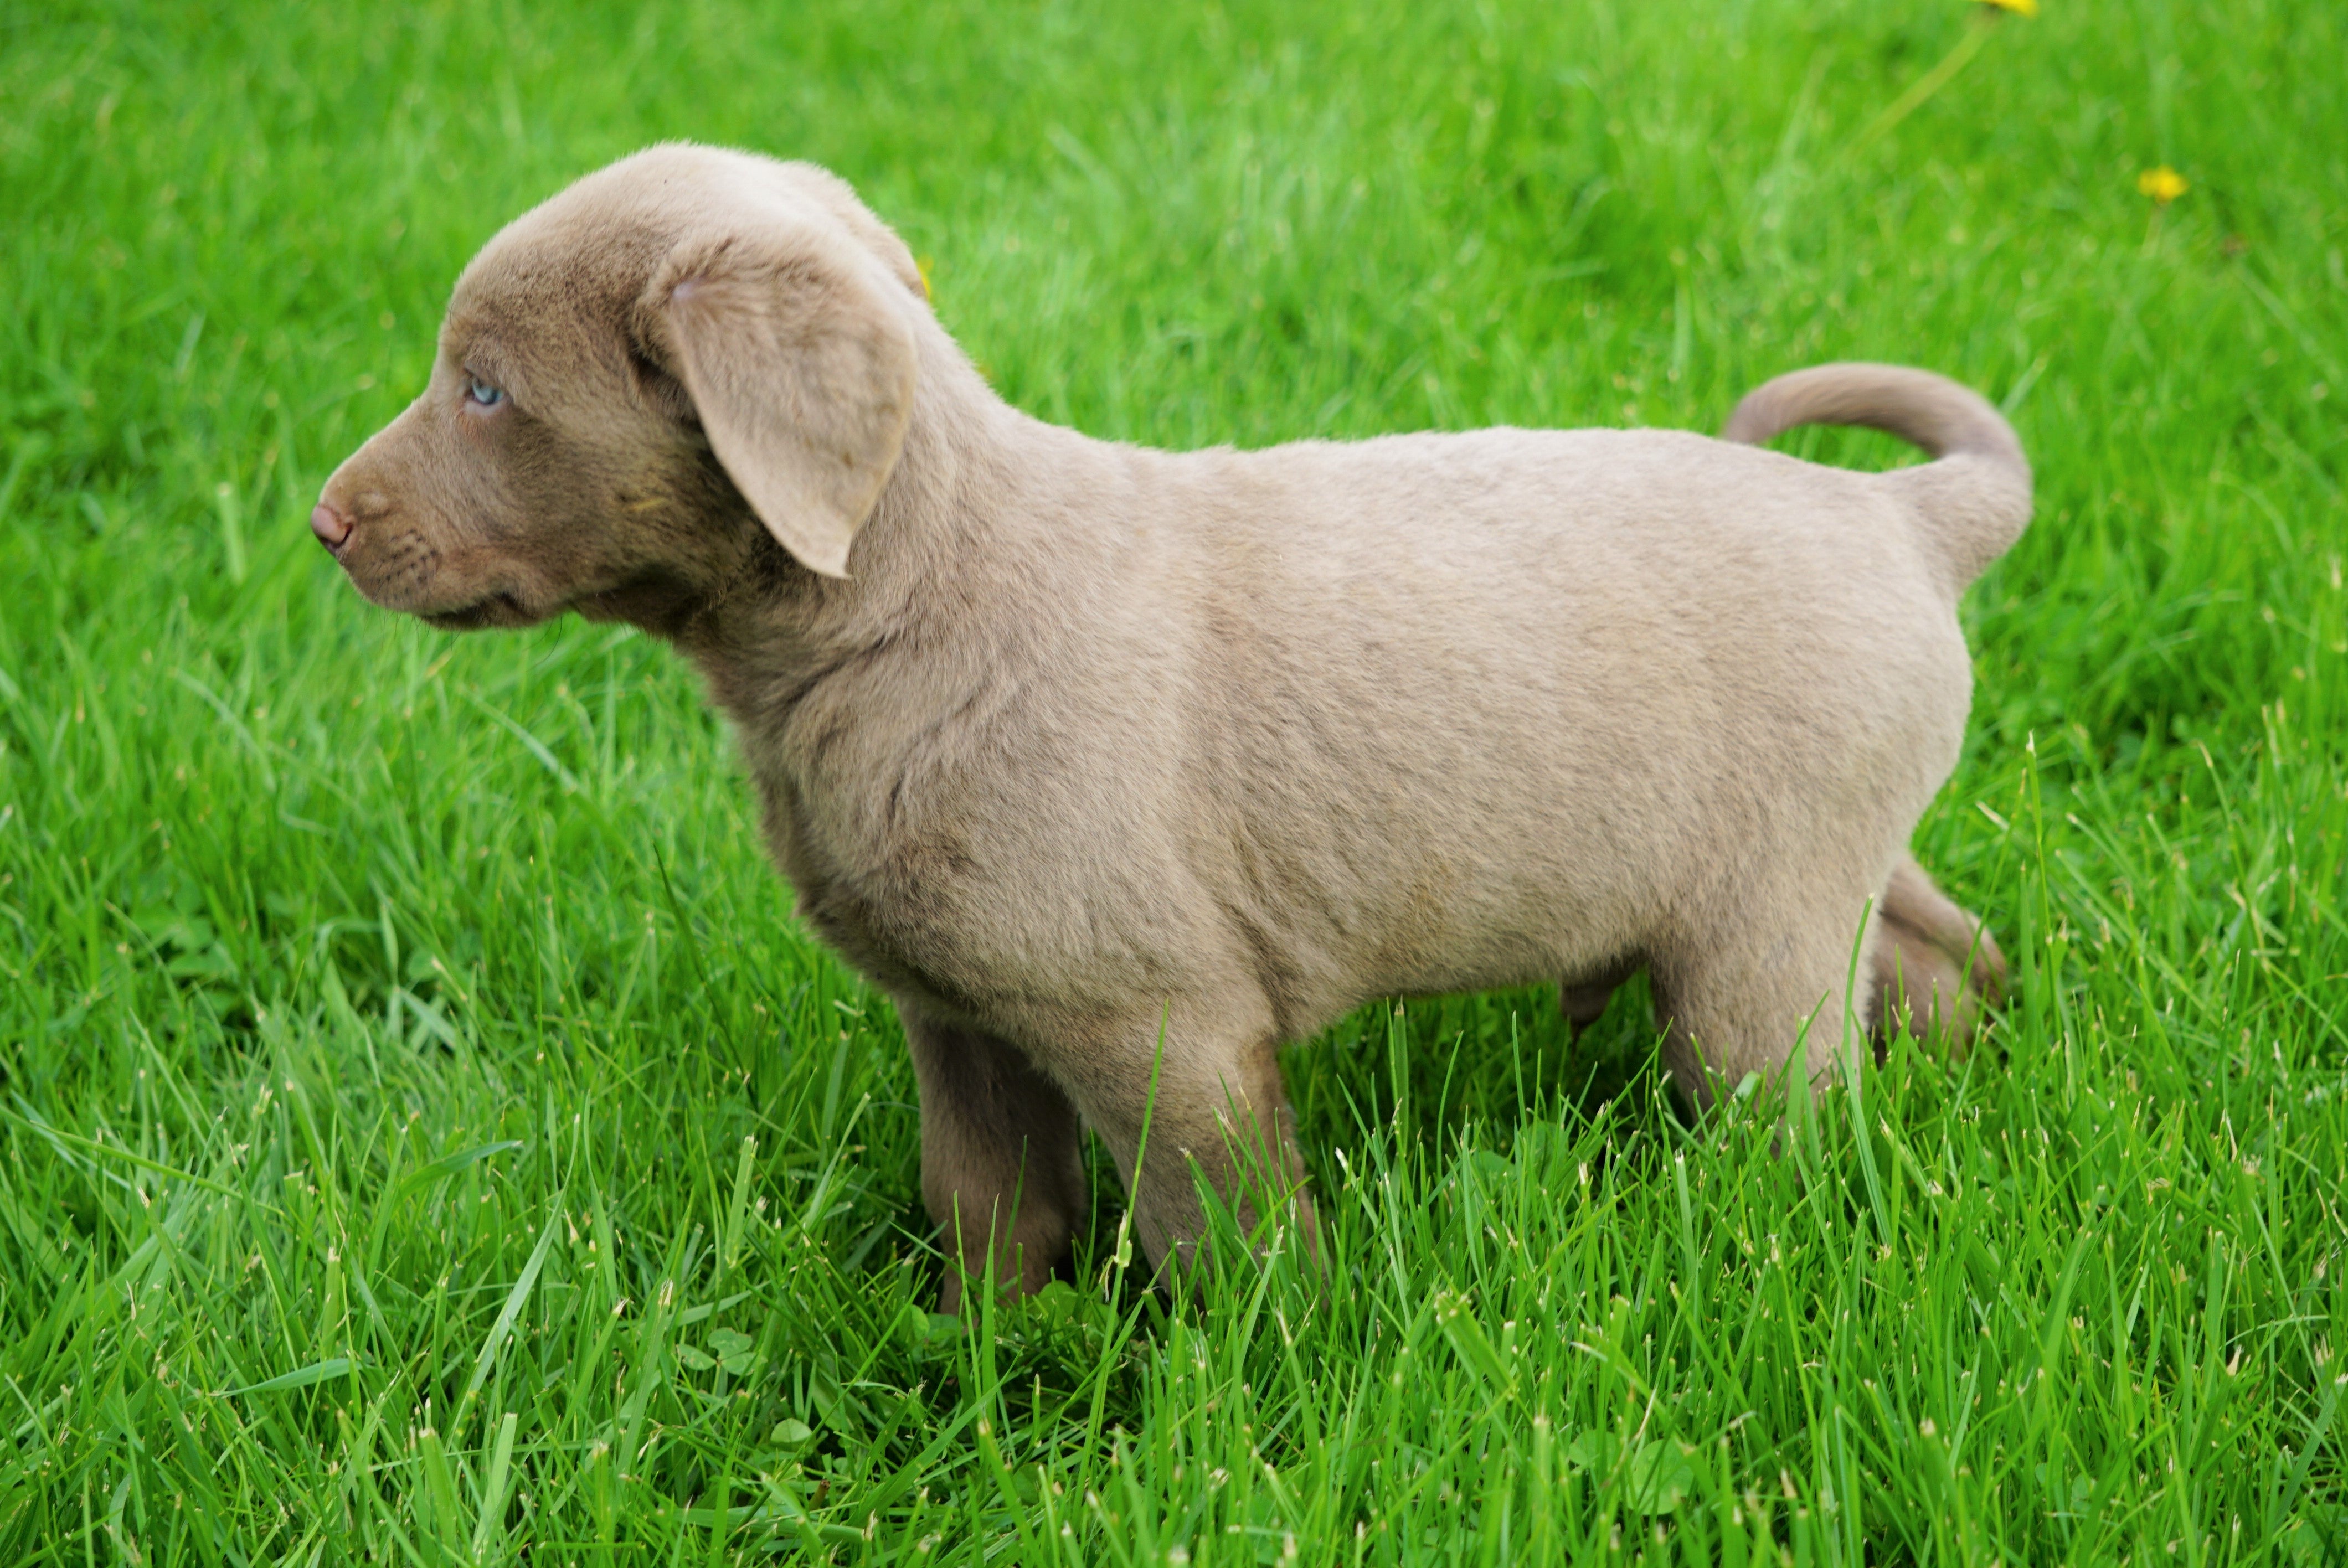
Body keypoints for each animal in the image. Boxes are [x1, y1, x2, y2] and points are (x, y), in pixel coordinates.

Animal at [321, 146, 2028, 1305]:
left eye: (485, 392)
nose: (328, 525)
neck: (915, 606)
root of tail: (1901, 515)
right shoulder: (958, 1018)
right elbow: (986, 1206)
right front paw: (989, 1359)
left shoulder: (1159, 1024)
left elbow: (1224, 1240)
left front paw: (1259, 1391)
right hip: (1826, 861)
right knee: (1944, 953)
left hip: (1754, 932)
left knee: (1790, 1106)